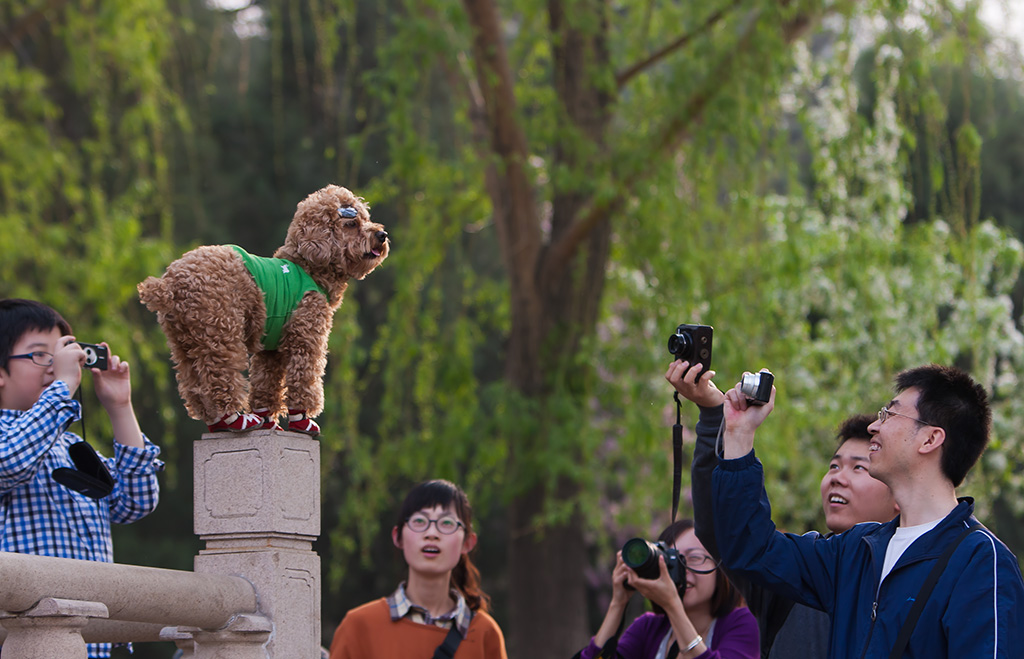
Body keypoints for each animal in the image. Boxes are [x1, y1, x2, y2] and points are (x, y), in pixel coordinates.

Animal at [136, 184, 387, 437]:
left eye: (366, 220)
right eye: (351, 224)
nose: (382, 235)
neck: (309, 267)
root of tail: (170, 283)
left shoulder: (270, 351)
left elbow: (266, 385)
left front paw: (269, 421)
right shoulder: (306, 339)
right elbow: (304, 380)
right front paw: (302, 421)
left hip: (183, 343)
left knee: (194, 387)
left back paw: (216, 424)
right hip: (220, 334)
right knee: (220, 381)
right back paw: (237, 420)